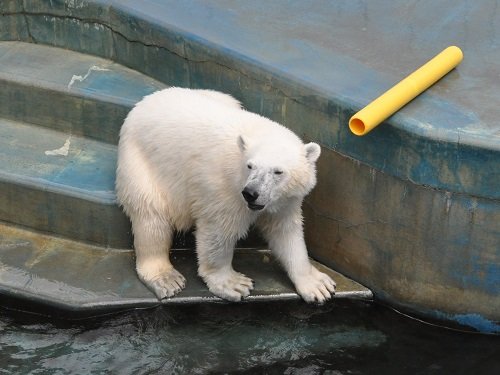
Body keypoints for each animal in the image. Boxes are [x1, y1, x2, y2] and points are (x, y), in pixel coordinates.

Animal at [115, 89, 336, 306]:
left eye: (278, 171)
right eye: (250, 166)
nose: (251, 193)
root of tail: (143, 102)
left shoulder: (284, 201)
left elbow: (286, 231)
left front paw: (318, 285)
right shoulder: (223, 189)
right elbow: (219, 232)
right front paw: (233, 284)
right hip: (142, 165)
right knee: (152, 217)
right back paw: (165, 278)